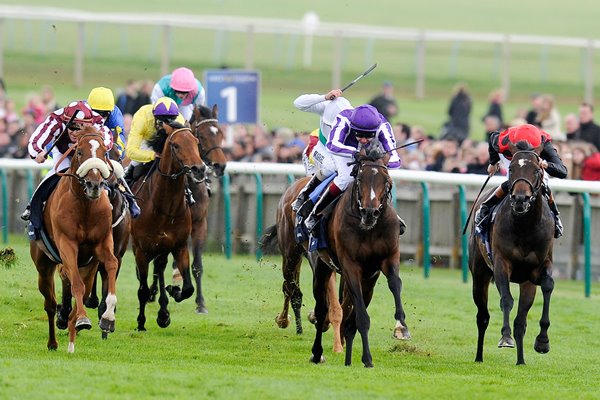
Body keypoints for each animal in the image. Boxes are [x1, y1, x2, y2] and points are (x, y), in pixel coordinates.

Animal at [30, 126, 118, 354]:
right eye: (79, 152)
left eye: (104, 153)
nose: (94, 184)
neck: (85, 205)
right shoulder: (67, 244)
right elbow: (75, 285)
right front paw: (83, 319)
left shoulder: (103, 243)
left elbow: (112, 265)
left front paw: (108, 318)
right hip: (43, 266)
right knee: (51, 304)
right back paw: (54, 342)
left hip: (88, 267)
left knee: (82, 294)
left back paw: (71, 338)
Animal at [129, 122, 204, 332]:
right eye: (176, 145)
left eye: (196, 142)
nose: (199, 169)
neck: (164, 207)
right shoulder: (141, 250)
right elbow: (142, 289)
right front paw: (140, 322)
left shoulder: (179, 245)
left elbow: (188, 288)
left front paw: (174, 290)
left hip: (163, 247)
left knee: (160, 269)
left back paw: (163, 313)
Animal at [468, 141, 556, 366]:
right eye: (511, 169)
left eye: (536, 170)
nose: (520, 199)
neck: (525, 227)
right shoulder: (501, 263)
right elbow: (506, 299)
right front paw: (505, 337)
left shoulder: (538, 268)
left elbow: (548, 285)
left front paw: (543, 341)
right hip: (479, 274)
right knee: (482, 316)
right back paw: (479, 357)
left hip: (526, 283)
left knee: (521, 322)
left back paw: (521, 361)